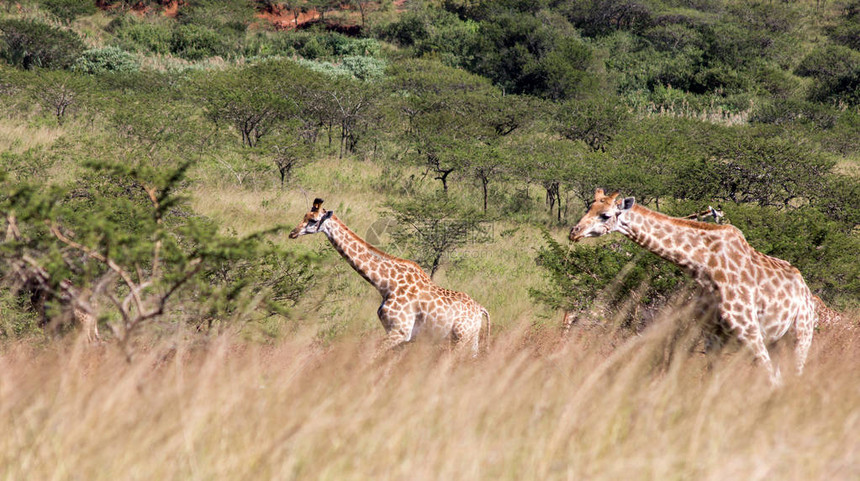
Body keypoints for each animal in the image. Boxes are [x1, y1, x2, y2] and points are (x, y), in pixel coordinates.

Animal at [288, 197, 490, 354]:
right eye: (304, 216)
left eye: (313, 220)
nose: (293, 233)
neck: (385, 284)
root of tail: (480, 309)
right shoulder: (397, 334)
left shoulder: (400, 332)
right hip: (471, 339)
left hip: (460, 338)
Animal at [568, 188, 816, 382]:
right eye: (588, 208)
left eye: (605, 215)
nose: (574, 232)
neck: (705, 268)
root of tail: (806, 291)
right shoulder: (712, 335)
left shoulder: (750, 330)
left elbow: (769, 378)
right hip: (776, 341)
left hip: (800, 334)